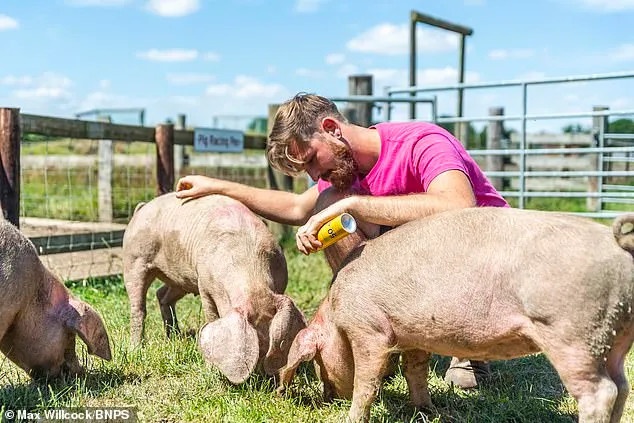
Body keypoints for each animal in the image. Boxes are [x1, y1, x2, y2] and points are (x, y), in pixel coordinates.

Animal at [121, 194, 306, 386]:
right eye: (258, 346)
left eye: (270, 347)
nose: (263, 381)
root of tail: (141, 208)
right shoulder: (204, 283)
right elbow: (211, 316)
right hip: (134, 260)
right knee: (138, 306)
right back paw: (136, 349)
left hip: (180, 279)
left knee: (162, 295)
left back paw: (174, 336)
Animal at [278, 208, 632, 423]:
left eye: (318, 362)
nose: (328, 399)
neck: (336, 311)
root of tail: (619, 249)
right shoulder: (413, 334)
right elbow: (415, 371)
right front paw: (426, 410)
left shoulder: (369, 329)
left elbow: (368, 381)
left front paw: (351, 417)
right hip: (615, 332)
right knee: (622, 386)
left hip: (573, 331)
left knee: (601, 392)